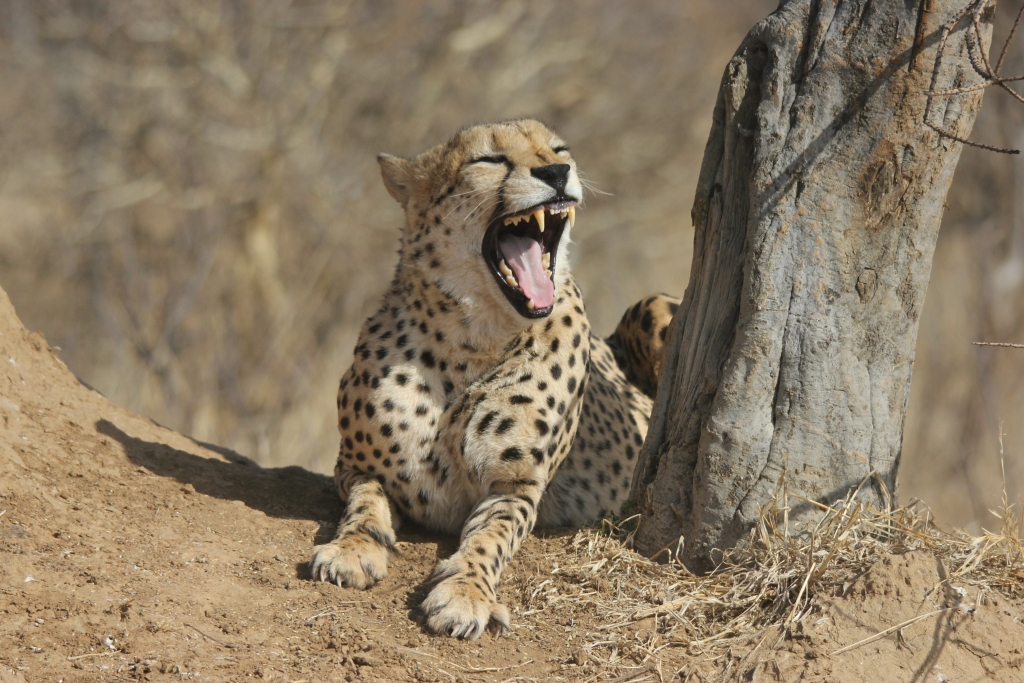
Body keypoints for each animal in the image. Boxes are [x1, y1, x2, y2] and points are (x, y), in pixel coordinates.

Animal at [309, 119, 678, 639]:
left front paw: (465, 593)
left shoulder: (517, 485)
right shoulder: (354, 465)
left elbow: (491, 536)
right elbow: (365, 504)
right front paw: (353, 549)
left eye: (560, 149)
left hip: (655, 305)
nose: (557, 172)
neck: (469, 340)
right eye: (489, 160)